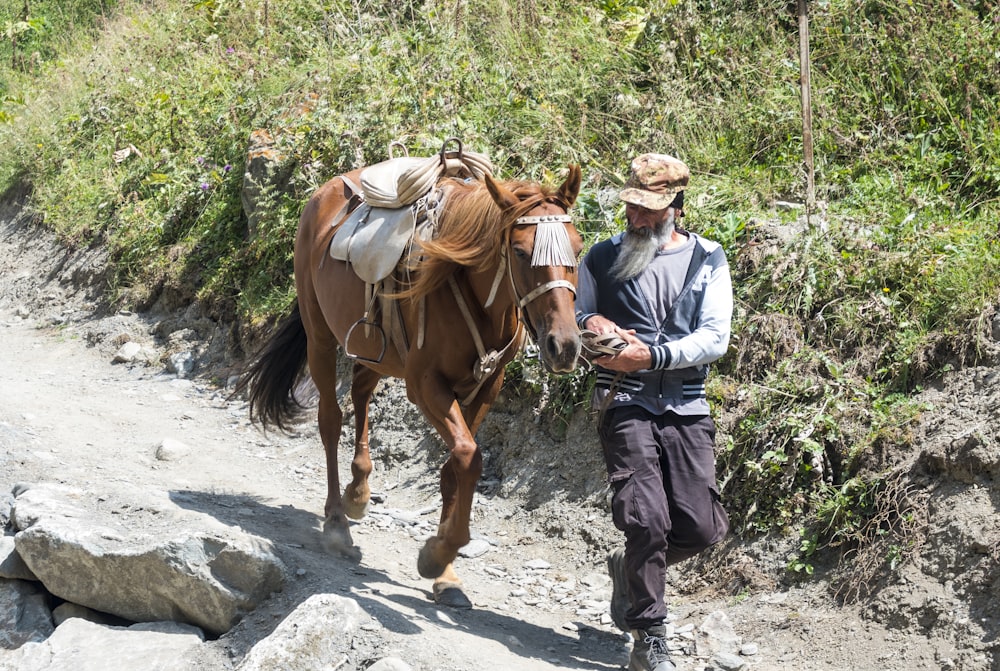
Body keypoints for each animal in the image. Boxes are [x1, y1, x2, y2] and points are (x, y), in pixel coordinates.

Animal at [237, 164, 584, 608]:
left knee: (361, 392)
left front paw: (447, 574)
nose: (564, 346)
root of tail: (329, 189)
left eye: (578, 248)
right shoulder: (425, 385)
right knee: (330, 419)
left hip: (376, 350)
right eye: (521, 252)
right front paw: (437, 555)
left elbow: (456, 466)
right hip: (320, 336)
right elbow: (468, 457)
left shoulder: (487, 386)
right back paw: (337, 522)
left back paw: (358, 492)